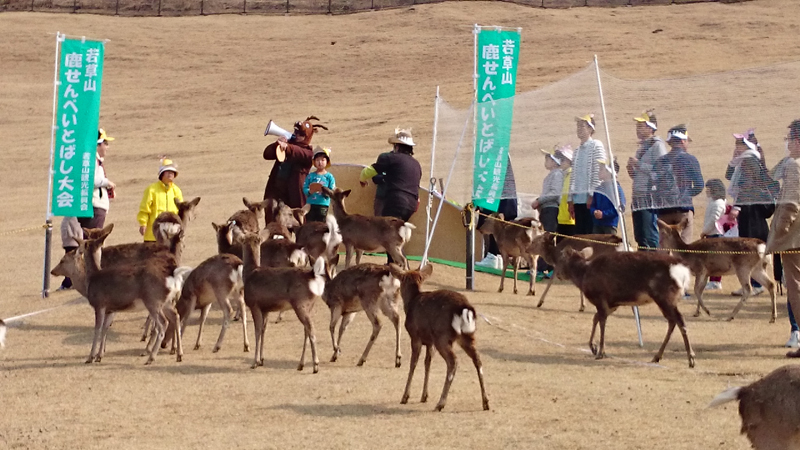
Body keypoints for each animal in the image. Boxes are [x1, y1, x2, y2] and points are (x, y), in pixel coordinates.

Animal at [78, 225, 184, 366]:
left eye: (84, 242)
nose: (77, 250)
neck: (92, 277)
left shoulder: (99, 304)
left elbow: (98, 329)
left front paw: (90, 357)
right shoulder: (111, 309)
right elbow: (105, 328)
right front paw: (99, 356)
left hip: (153, 301)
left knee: (162, 323)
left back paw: (150, 357)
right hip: (166, 302)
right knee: (176, 316)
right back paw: (179, 354)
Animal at [241, 232, 324, 372]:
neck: (249, 274)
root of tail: (312, 276)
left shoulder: (254, 304)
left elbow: (257, 331)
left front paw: (254, 362)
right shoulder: (265, 309)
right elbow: (263, 330)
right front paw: (261, 360)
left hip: (300, 303)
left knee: (311, 329)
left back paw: (315, 365)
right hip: (309, 306)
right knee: (306, 330)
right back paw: (301, 364)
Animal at [388, 262, 488, 414]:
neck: (411, 302)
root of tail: (465, 308)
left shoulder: (415, 336)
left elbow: (413, 364)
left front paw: (405, 396)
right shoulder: (430, 342)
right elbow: (427, 363)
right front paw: (424, 396)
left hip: (443, 336)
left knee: (453, 361)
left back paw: (440, 403)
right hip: (467, 336)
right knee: (477, 359)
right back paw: (485, 402)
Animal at [556, 248, 692, 368]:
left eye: (561, 259)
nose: (557, 274)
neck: (583, 275)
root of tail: (683, 271)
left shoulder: (600, 298)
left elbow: (601, 321)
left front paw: (601, 352)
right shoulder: (612, 303)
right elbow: (595, 318)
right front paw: (593, 346)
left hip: (664, 296)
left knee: (679, 320)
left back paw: (691, 358)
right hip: (667, 299)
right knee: (672, 321)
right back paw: (657, 357)